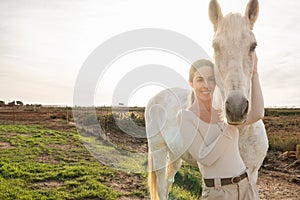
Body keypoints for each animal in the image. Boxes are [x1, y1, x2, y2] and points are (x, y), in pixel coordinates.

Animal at [145, 0, 268, 200]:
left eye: (253, 46)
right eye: (215, 46)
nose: (236, 108)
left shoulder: (252, 174)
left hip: (175, 154)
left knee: (169, 180)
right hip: (158, 149)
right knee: (162, 185)